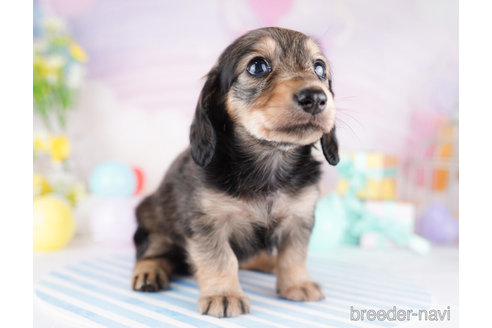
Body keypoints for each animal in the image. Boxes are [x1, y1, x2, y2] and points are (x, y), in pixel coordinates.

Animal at [131, 26, 338, 320]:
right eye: (258, 66)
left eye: (319, 68)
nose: (317, 98)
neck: (269, 163)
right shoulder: (208, 224)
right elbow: (221, 259)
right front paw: (224, 294)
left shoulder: (299, 219)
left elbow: (293, 255)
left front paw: (297, 283)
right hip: (152, 224)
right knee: (153, 254)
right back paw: (149, 272)